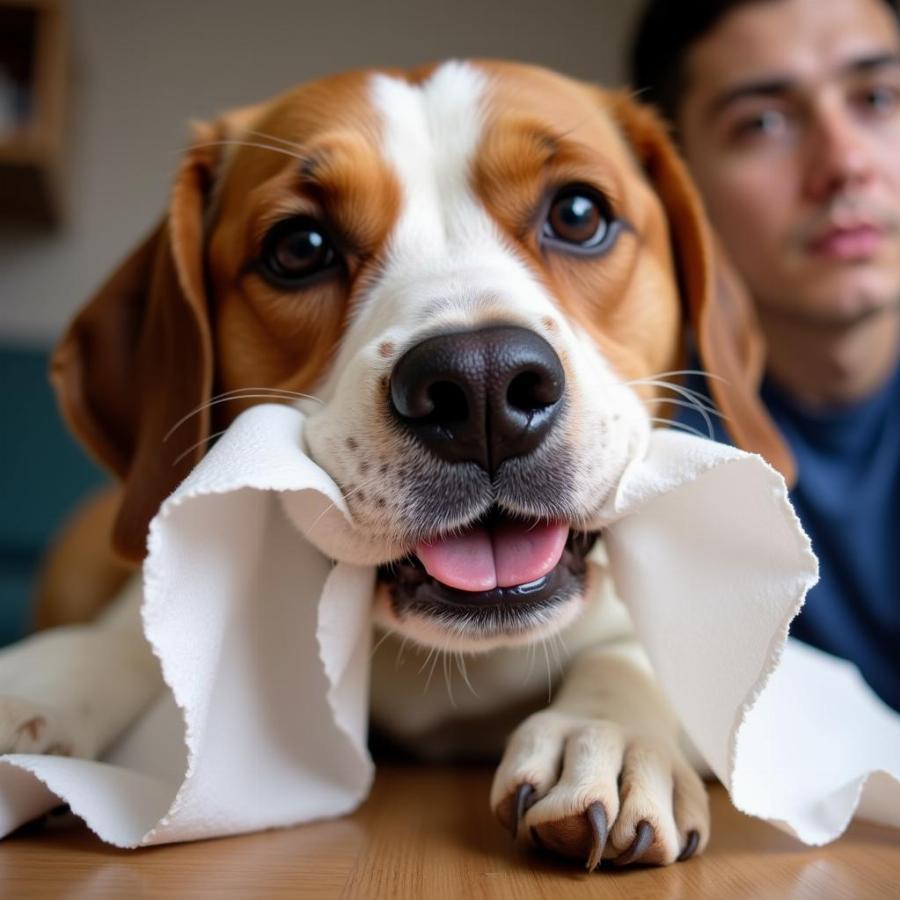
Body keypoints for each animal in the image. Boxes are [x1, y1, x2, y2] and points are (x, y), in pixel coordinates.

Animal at [0, 61, 792, 864]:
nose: (481, 385)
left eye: (577, 214)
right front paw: (36, 686)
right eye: (300, 246)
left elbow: (632, 656)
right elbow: (121, 640)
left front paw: (607, 733)